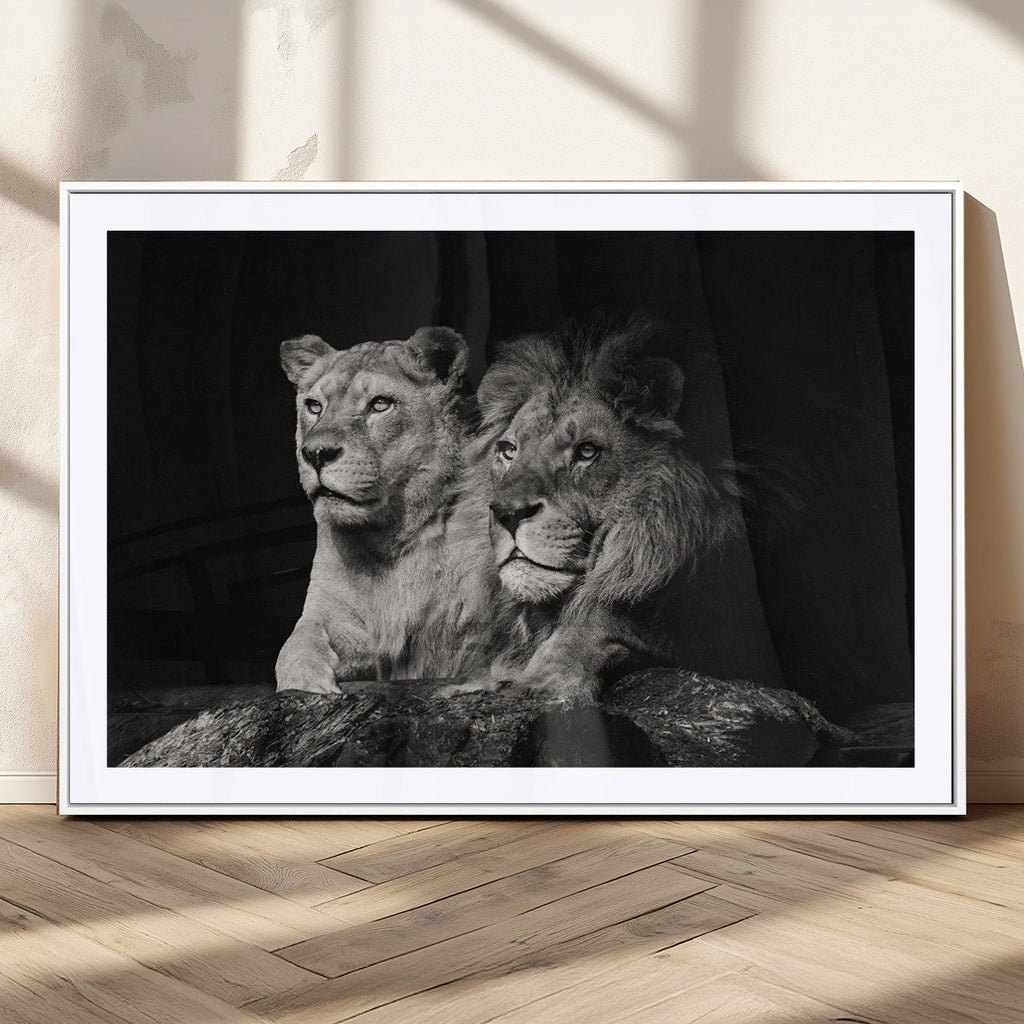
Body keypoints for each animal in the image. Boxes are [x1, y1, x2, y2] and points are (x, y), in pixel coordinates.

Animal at [276, 326, 507, 694]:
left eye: (380, 404)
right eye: (314, 406)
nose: (315, 453)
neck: (389, 537)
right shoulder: (329, 612)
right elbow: (294, 646)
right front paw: (308, 685)